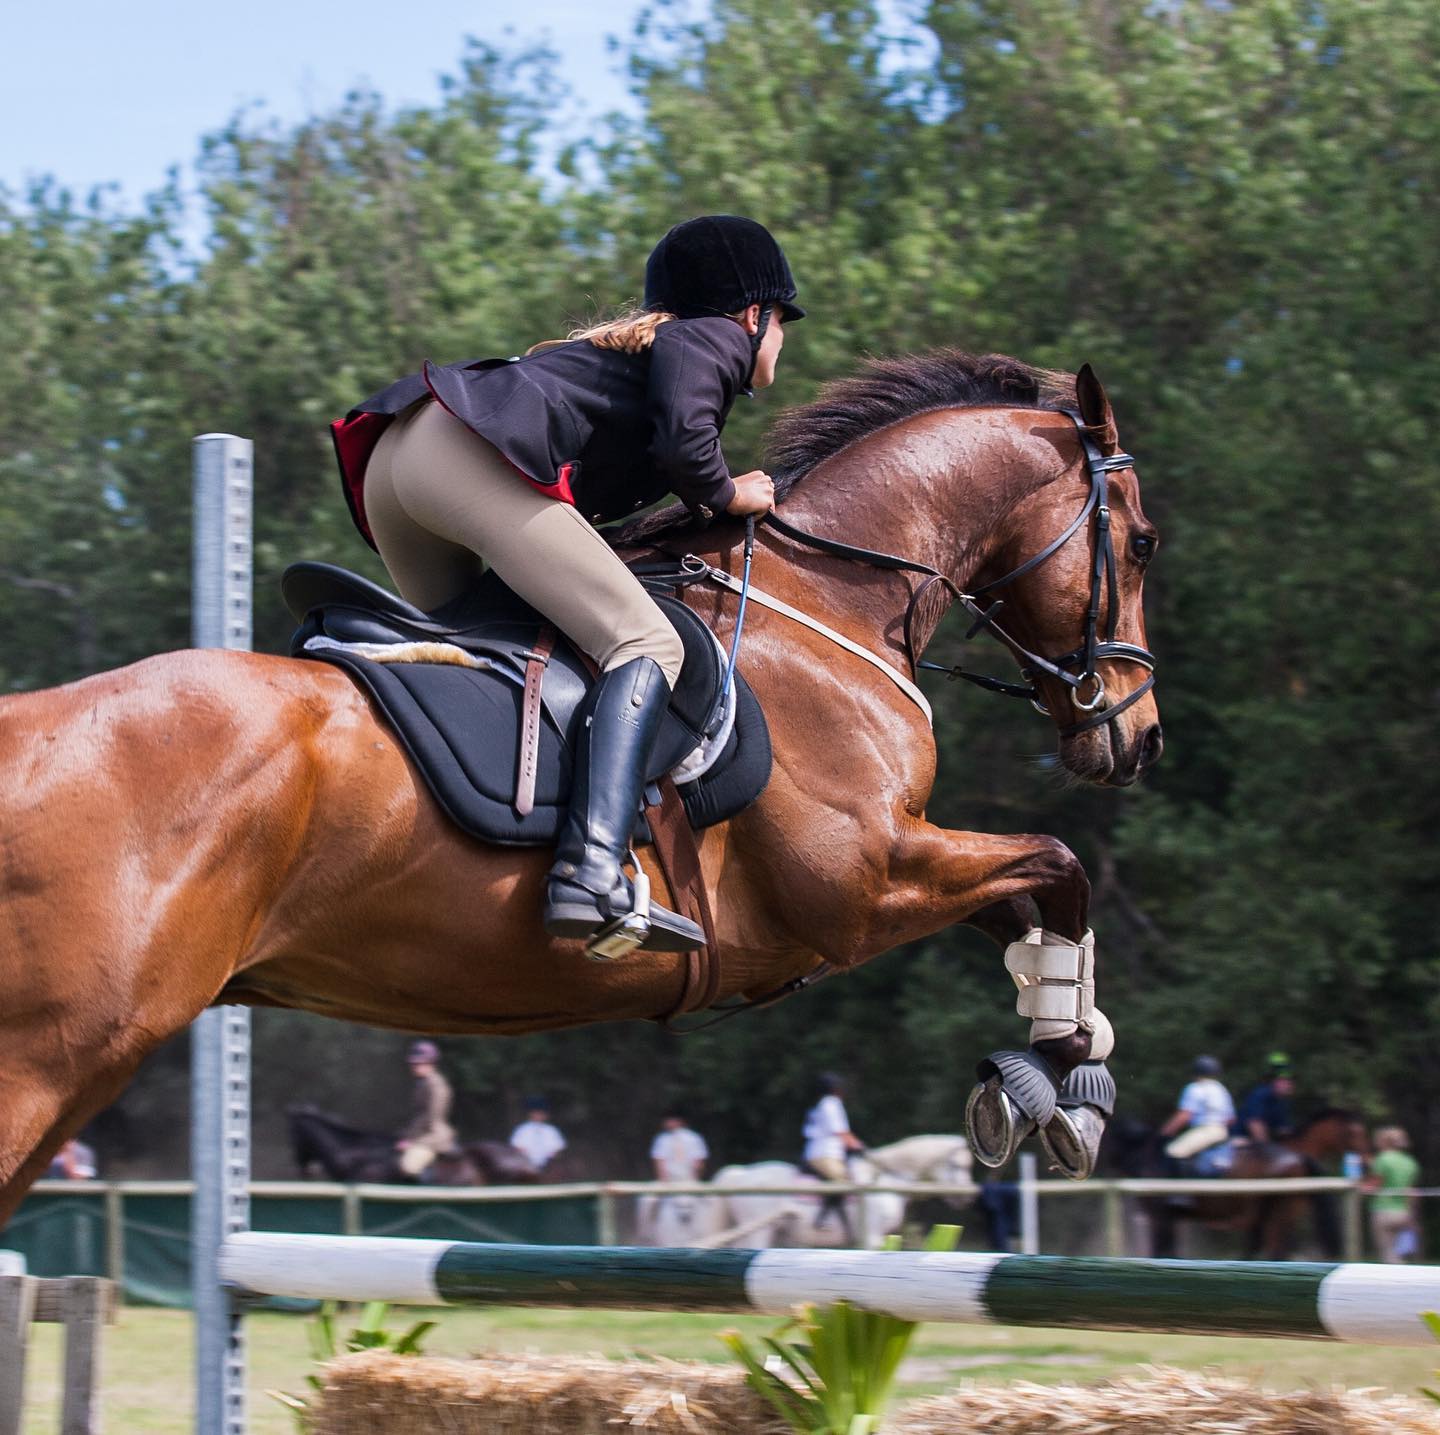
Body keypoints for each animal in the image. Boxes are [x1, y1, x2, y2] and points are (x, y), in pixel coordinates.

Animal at [1107, 1109, 1366, 1260]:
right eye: (1354, 1131)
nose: (1366, 1161)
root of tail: (1296, 1157)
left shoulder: (1161, 1218)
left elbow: (1162, 1252)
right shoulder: (1167, 1219)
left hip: (1279, 1216)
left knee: (1277, 1253)